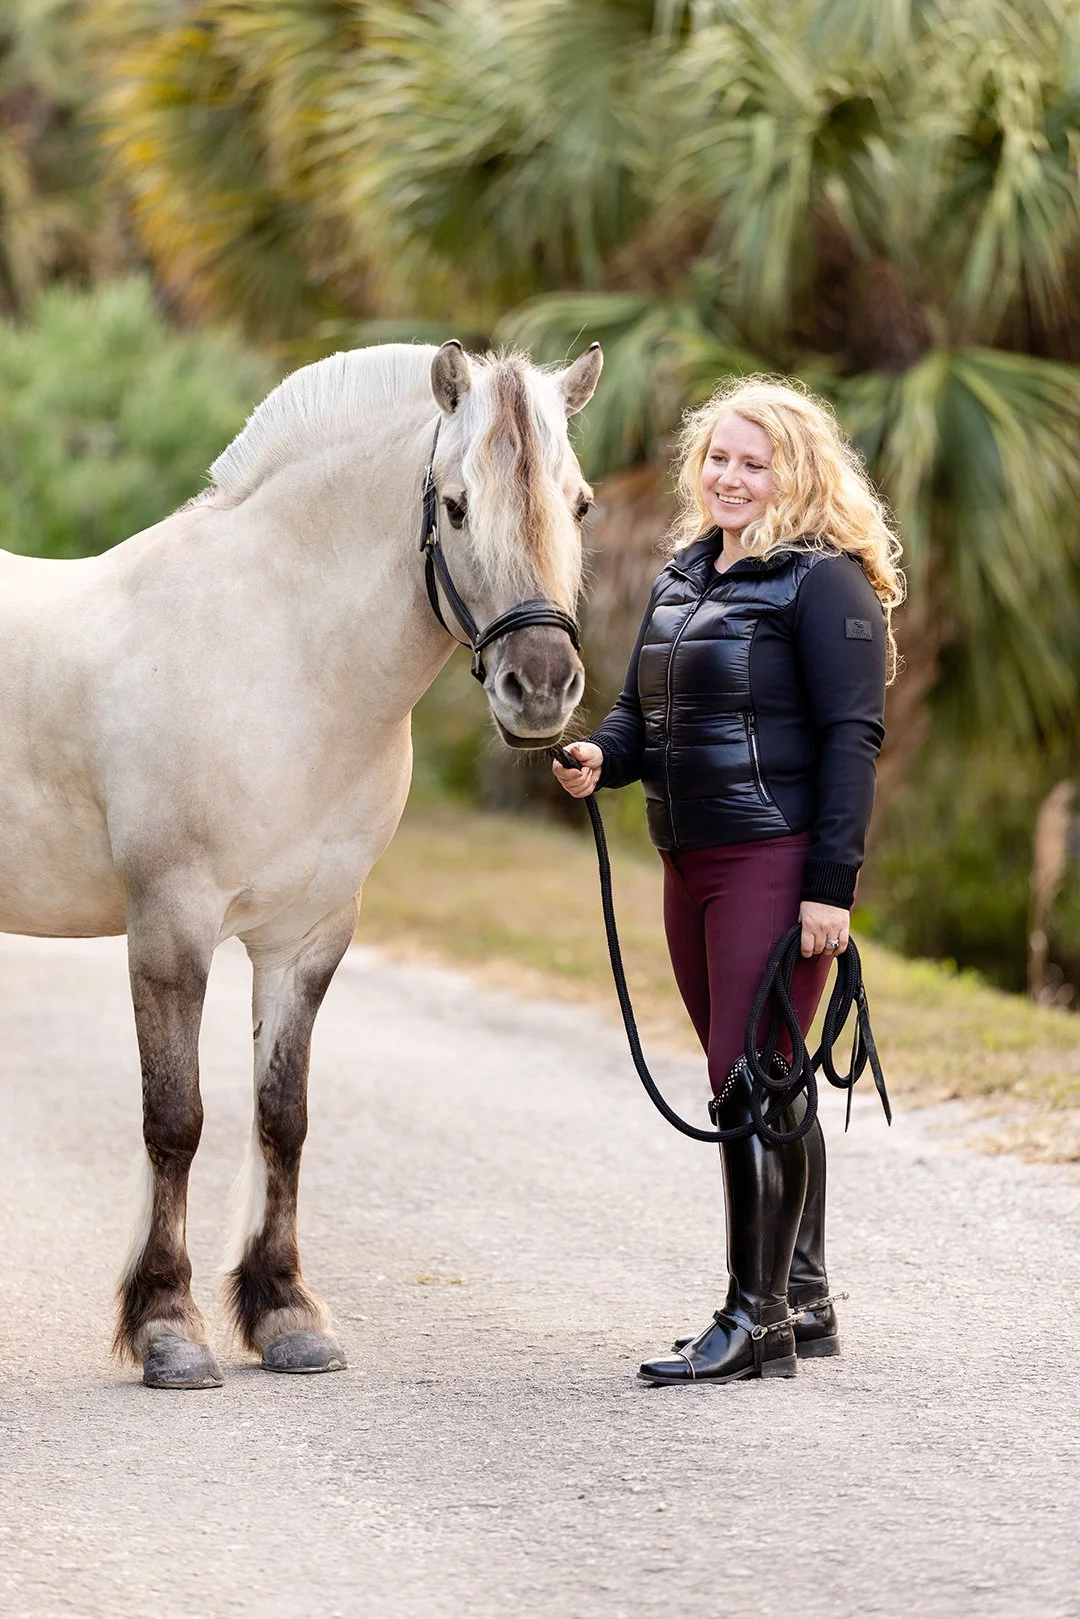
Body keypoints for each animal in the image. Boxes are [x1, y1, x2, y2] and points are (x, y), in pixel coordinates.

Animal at [0, 338, 603, 1388]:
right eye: (455, 504)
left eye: (579, 504)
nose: (540, 688)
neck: (275, 654)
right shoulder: (171, 925)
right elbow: (176, 1120)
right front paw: (168, 1327)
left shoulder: (308, 938)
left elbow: (283, 1116)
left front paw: (284, 1313)